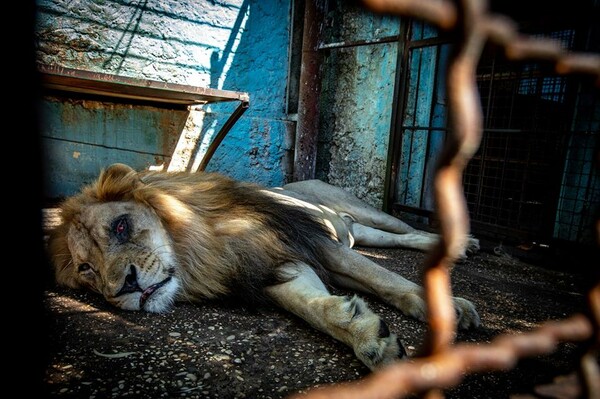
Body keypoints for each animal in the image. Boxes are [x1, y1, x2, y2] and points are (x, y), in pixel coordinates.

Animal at [49, 163, 482, 372]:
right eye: (86, 269)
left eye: (121, 226)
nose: (124, 288)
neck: (200, 249)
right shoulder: (268, 268)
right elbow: (313, 308)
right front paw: (366, 334)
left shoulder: (311, 243)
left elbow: (384, 277)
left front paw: (445, 307)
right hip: (356, 231)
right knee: (393, 239)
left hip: (358, 209)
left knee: (403, 229)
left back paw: (462, 243)